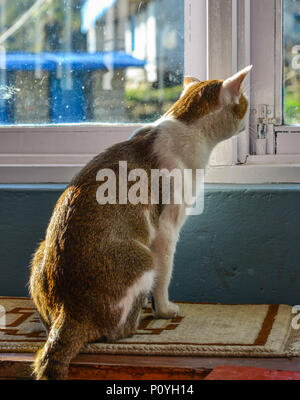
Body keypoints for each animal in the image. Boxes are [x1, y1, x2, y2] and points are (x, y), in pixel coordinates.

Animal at [29, 65, 252, 378]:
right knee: (118, 329)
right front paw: (164, 309)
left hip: (39, 254)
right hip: (142, 259)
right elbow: (165, 275)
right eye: (245, 103)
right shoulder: (167, 229)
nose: (249, 118)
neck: (187, 128)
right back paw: (137, 322)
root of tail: (68, 309)